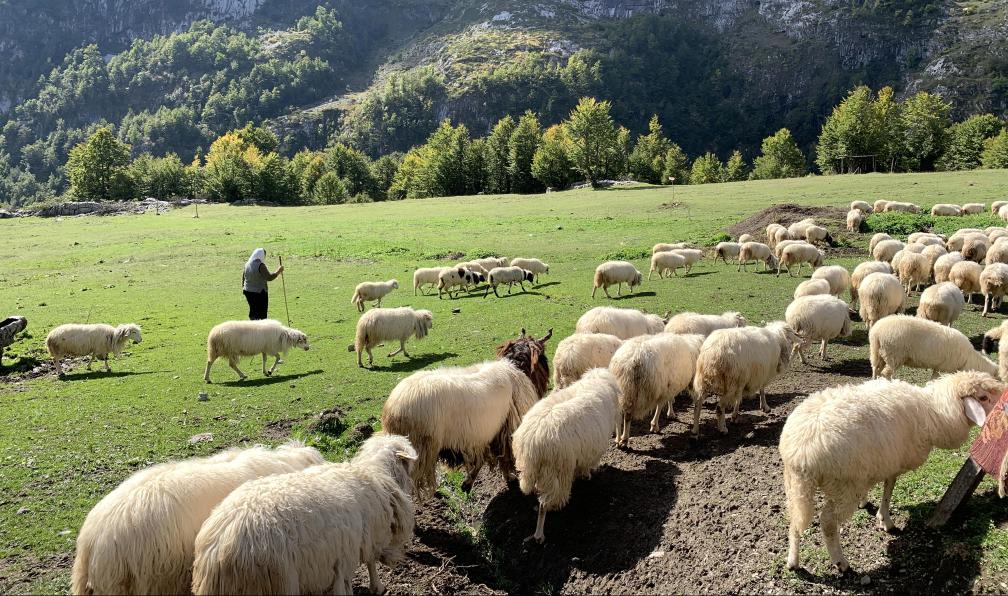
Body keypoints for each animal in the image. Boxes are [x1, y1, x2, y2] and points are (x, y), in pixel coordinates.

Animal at [189, 434, 416, 596]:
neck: (375, 473)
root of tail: (216, 551)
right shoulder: (362, 542)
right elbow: (370, 563)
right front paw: (378, 586)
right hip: (278, 584)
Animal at [380, 329, 550, 495]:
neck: (516, 367)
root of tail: (393, 411)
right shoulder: (505, 431)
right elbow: (503, 458)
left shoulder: (486, 436)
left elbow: (486, 459)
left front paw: (468, 483)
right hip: (419, 451)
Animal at [512, 368, 620, 543]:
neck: (597, 381)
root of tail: (531, 442)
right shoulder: (590, 453)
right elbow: (585, 467)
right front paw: (586, 476)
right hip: (556, 472)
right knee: (544, 505)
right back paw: (540, 533)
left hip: (532, 471)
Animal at [780, 371, 1004, 572]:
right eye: (983, 397)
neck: (933, 412)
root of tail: (801, 451)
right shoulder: (893, 463)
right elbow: (889, 488)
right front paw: (885, 520)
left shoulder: (878, 463)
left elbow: (882, 487)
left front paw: (867, 503)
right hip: (844, 485)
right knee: (827, 522)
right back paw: (841, 562)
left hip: (795, 485)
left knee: (795, 520)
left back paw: (793, 560)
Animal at [869, 315, 998, 379]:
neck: (969, 359)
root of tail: (876, 332)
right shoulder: (946, 367)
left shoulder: (938, 366)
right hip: (894, 356)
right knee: (886, 374)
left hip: (878, 353)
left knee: (875, 370)